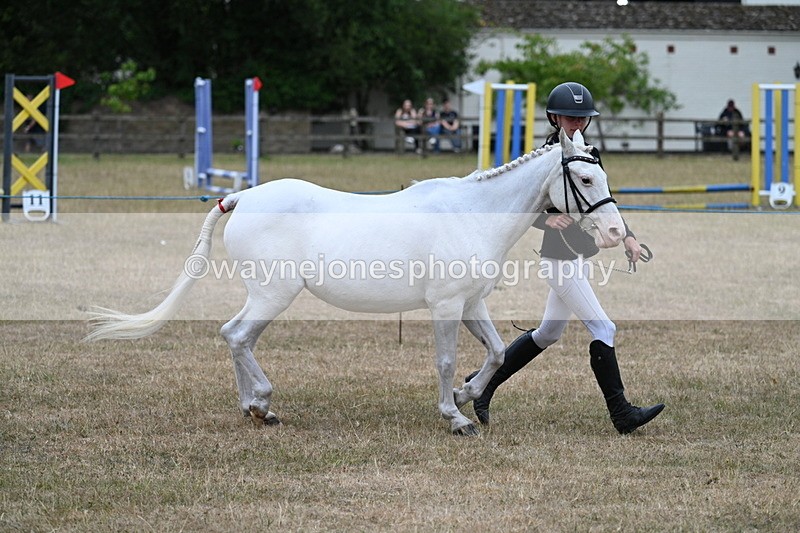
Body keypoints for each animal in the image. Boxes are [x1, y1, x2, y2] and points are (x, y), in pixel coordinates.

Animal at [86, 129, 624, 436]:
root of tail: (241, 197)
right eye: (586, 180)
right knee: (237, 336)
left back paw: (253, 407)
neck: (469, 214)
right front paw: (454, 417)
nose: (616, 234)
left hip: (264, 295)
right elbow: (446, 361)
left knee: (232, 335)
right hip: (274, 295)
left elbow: (494, 353)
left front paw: (467, 398)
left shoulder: (472, 305)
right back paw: (262, 404)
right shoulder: (446, 307)